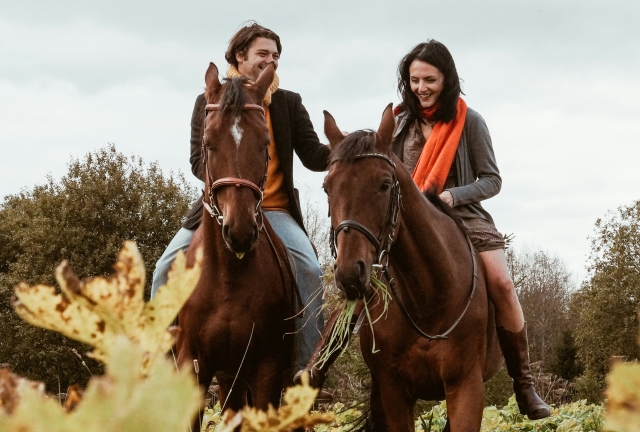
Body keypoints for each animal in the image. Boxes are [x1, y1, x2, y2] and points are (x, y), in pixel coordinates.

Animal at [321, 104, 502, 431]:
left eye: (384, 185)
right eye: (327, 187)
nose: (349, 273)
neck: (429, 298)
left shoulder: (466, 387)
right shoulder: (393, 391)